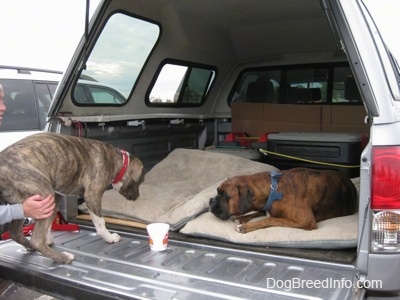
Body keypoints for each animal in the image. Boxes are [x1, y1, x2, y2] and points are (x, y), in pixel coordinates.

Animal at [0, 132, 144, 264]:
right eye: (139, 181)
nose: (137, 197)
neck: (117, 160)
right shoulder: (92, 195)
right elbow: (100, 221)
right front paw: (109, 237)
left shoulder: (57, 195)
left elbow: (49, 222)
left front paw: (48, 238)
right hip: (44, 194)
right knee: (36, 240)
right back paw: (63, 257)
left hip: (25, 204)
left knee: (16, 233)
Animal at [209, 168, 356, 233]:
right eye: (217, 192)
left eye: (224, 196)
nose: (211, 200)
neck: (273, 189)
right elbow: (260, 213)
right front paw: (241, 218)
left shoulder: (306, 222)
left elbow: (270, 219)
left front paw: (245, 226)